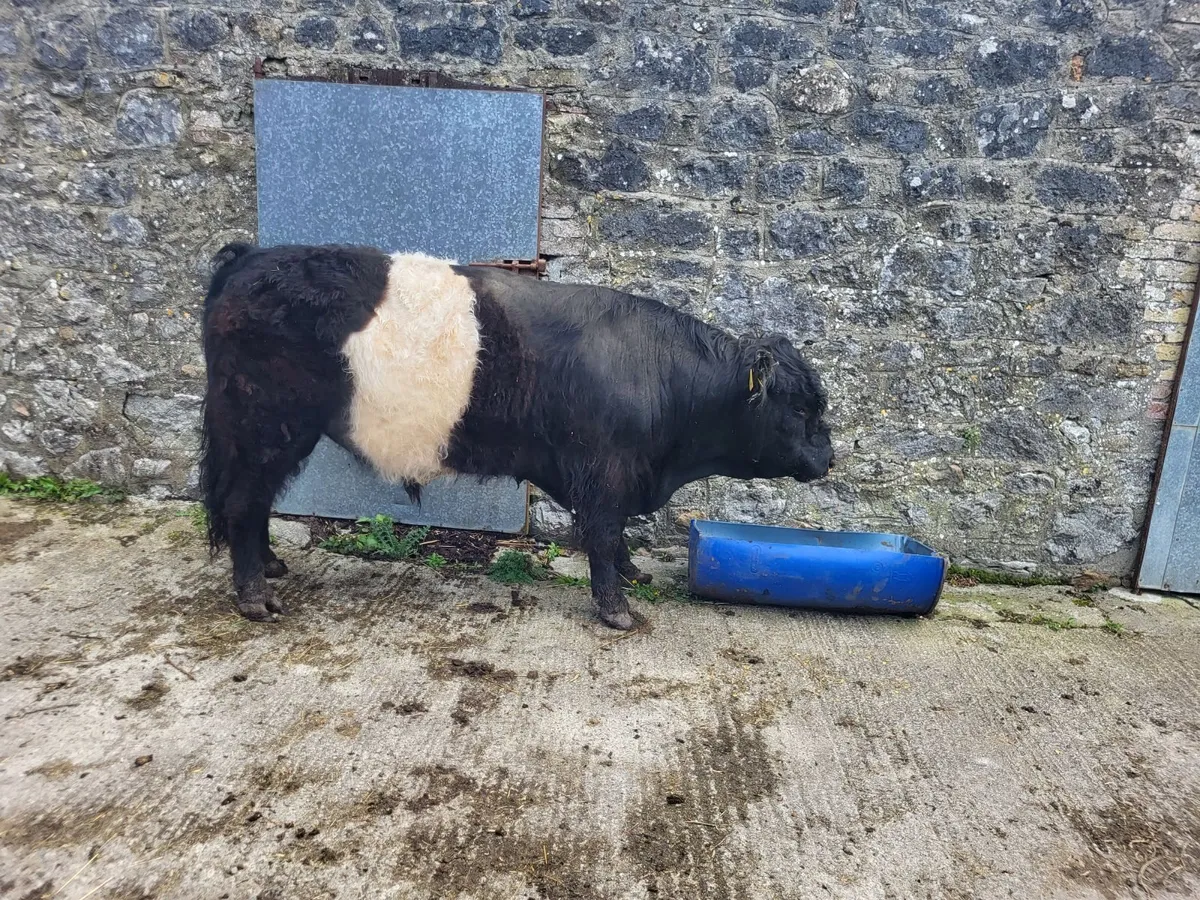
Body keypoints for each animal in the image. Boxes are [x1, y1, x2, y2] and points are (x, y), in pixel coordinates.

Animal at [199, 243, 833, 630]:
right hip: (265, 427)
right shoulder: (605, 470)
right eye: (802, 406)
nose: (828, 458)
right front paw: (618, 608)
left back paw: (272, 567)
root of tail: (252, 257)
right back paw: (256, 597)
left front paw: (632, 573)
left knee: (253, 503)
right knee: (243, 502)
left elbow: (616, 535)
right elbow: (604, 533)